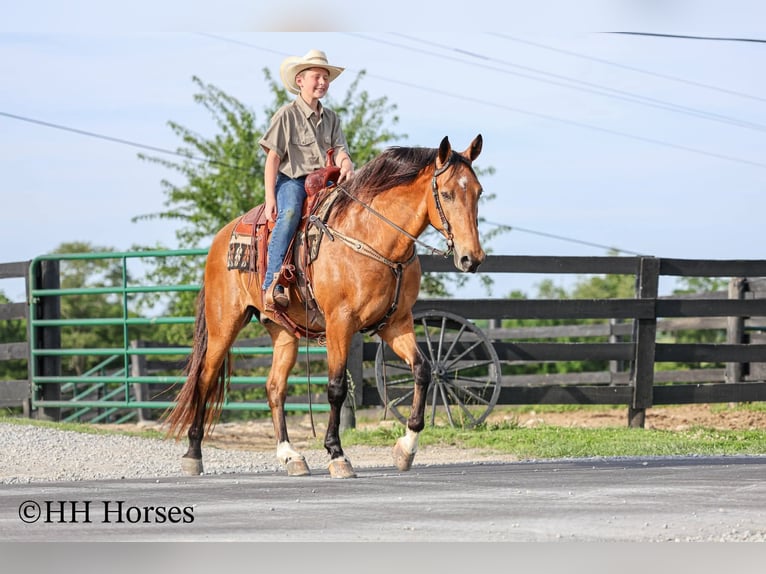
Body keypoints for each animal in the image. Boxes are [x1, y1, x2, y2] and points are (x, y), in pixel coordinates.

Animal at [164, 134, 486, 478]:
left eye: (478, 192)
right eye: (448, 194)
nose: (472, 257)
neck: (373, 237)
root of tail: (220, 239)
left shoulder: (396, 323)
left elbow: (423, 370)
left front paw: (406, 447)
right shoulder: (339, 323)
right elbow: (336, 388)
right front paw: (337, 454)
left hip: (282, 331)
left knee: (275, 387)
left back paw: (290, 455)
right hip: (223, 325)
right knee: (205, 378)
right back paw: (193, 454)